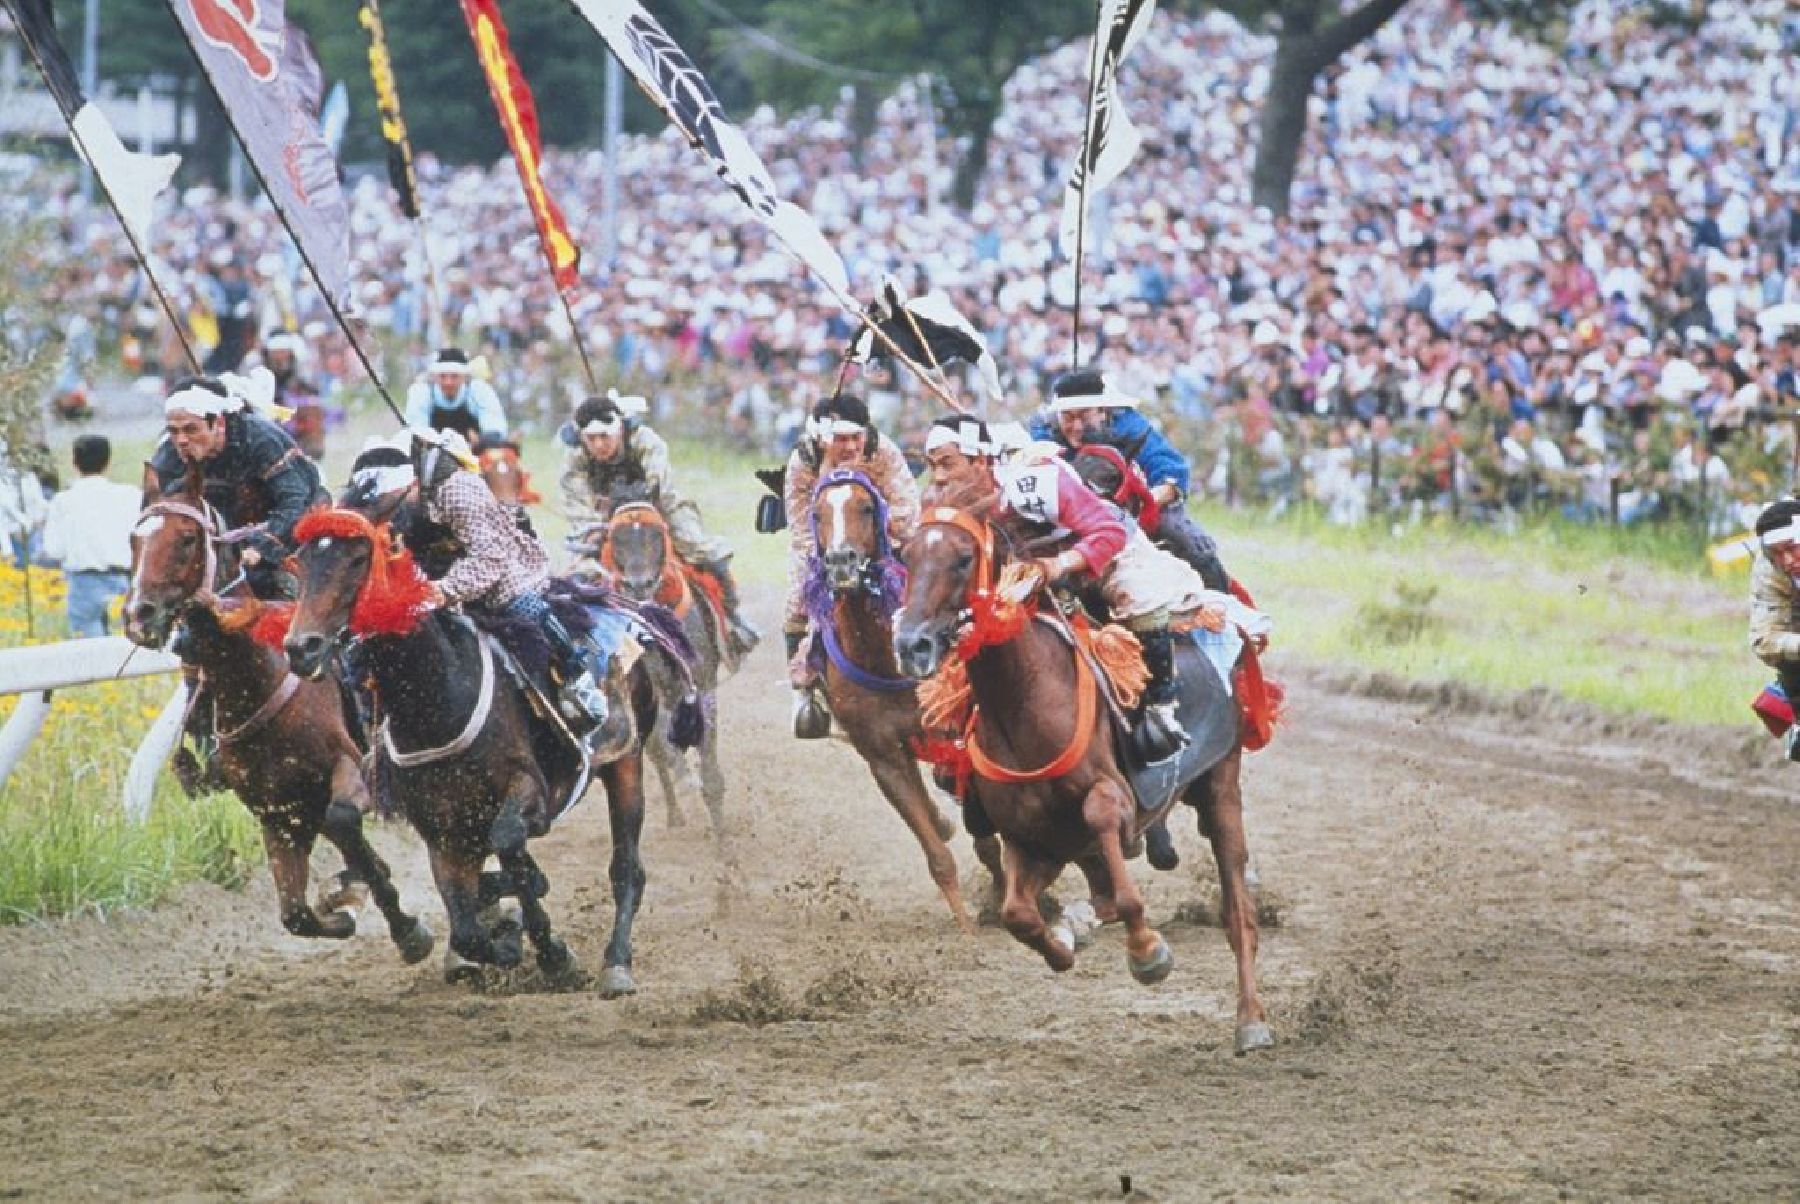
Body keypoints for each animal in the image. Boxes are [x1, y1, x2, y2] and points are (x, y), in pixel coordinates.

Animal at [123, 475, 432, 964]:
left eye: (187, 539)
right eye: (134, 541)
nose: (139, 614)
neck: (257, 679)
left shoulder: (348, 767)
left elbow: (343, 819)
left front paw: (405, 929)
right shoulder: (278, 815)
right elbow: (295, 914)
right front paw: (342, 909)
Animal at [286, 489, 662, 993]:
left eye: (358, 559)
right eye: (303, 563)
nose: (300, 647)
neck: (435, 701)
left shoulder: (529, 792)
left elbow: (508, 846)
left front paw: (547, 949)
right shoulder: (443, 831)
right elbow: (466, 925)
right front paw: (509, 941)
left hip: (625, 762)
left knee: (626, 871)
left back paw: (616, 963)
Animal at [594, 496, 727, 835]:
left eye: (657, 534)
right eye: (616, 537)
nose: (639, 583)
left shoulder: (702, 681)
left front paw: (722, 835)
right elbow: (662, 748)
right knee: (657, 752)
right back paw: (675, 812)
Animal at [810, 467, 1008, 928]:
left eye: (866, 506)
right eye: (818, 512)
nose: (841, 562)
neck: (882, 657)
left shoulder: (959, 739)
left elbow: (988, 839)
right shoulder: (883, 756)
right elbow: (937, 854)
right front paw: (966, 926)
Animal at [892, 496, 1274, 1051]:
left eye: (963, 559)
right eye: (906, 554)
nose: (911, 644)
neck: (1024, 700)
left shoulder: (1112, 802)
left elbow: (1121, 876)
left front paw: (1148, 954)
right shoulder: (1031, 840)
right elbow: (1018, 915)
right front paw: (1061, 947)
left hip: (1221, 785)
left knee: (1237, 914)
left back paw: (1251, 1021)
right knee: (1097, 895)